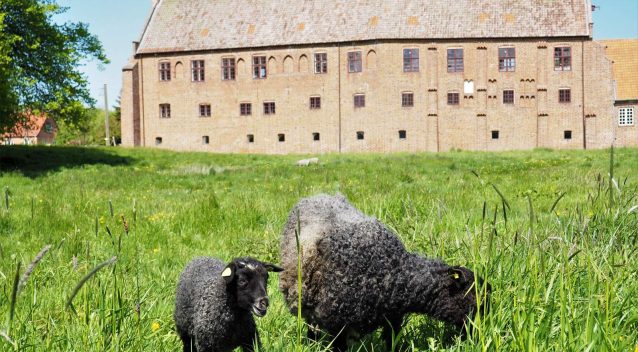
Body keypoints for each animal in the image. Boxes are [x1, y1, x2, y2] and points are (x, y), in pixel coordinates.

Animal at [280, 195, 490, 352]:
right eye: (474, 297)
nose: (480, 334)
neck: (393, 272)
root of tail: (315, 195)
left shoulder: (393, 320)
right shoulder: (336, 323)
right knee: (311, 328)